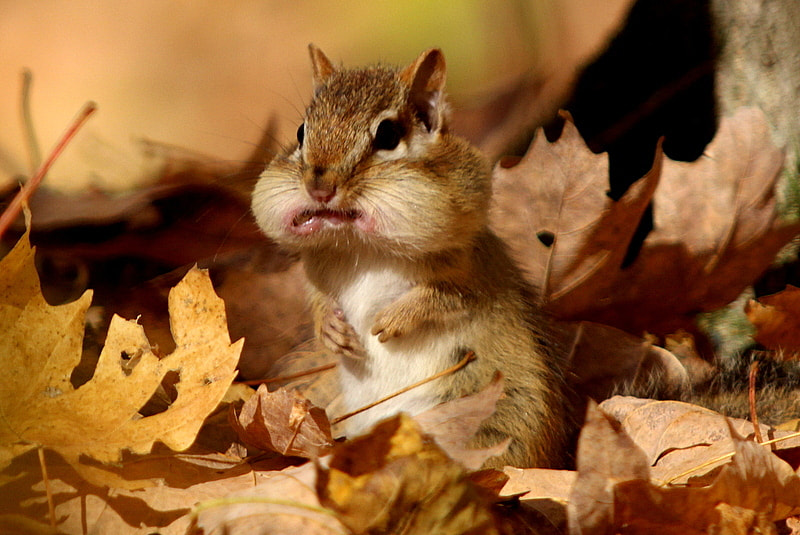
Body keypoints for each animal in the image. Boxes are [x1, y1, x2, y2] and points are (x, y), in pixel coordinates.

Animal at [252, 45, 569, 468]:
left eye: (387, 135)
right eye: (302, 132)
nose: (319, 186)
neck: (362, 249)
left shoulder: (472, 272)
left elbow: (448, 297)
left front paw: (393, 319)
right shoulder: (316, 272)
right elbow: (319, 299)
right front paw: (331, 330)